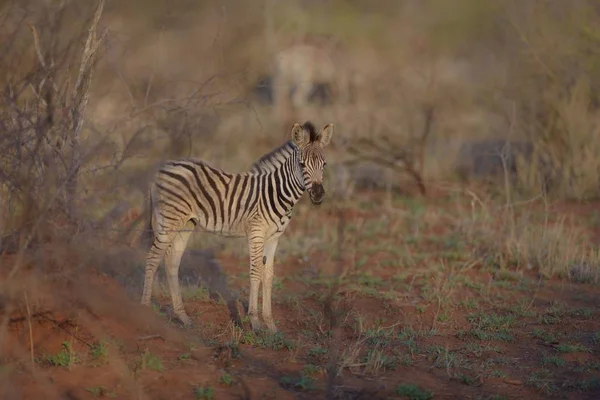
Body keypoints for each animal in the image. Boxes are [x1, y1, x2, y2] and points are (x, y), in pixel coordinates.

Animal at [143, 121, 336, 332]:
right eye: (302, 165)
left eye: (324, 164)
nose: (318, 194)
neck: (278, 193)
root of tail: (163, 166)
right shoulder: (257, 233)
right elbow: (256, 272)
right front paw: (255, 322)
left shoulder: (274, 237)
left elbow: (269, 275)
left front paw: (271, 324)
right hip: (169, 219)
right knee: (153, 257)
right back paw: (145, 309)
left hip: (186, 223)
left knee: (171, 261)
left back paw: (182, 317)